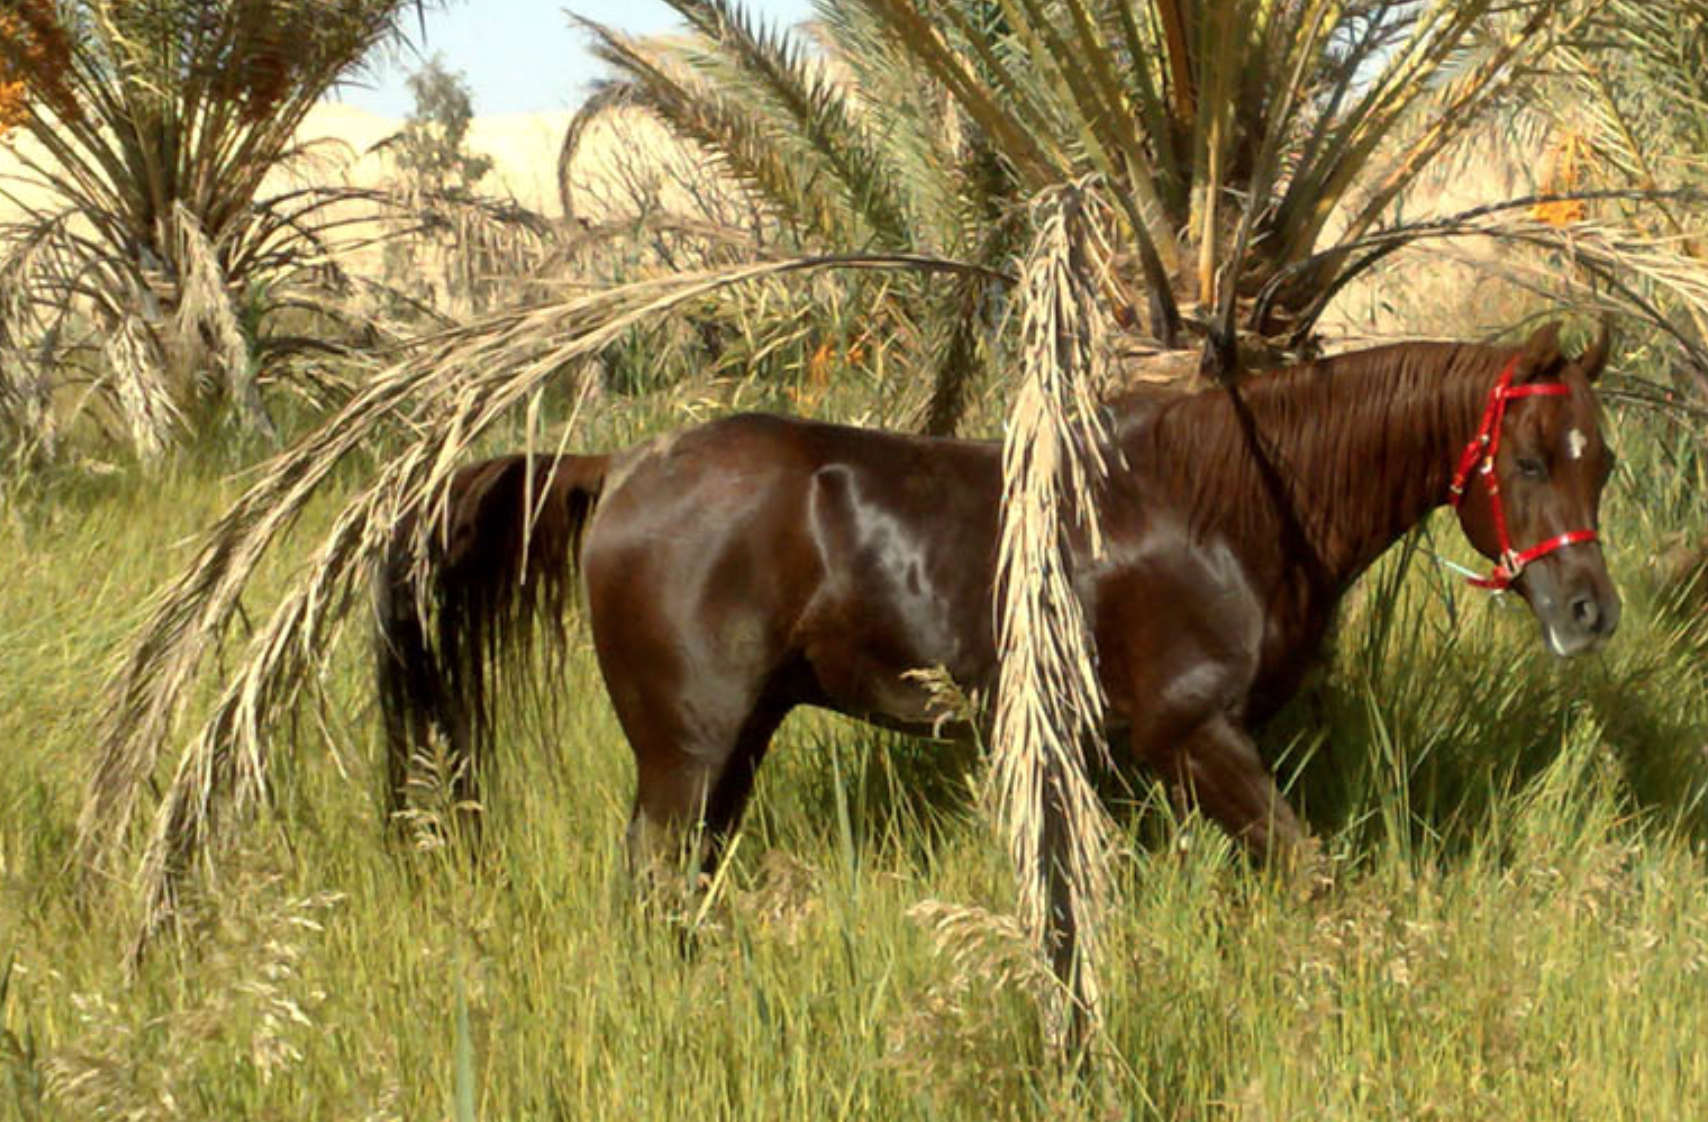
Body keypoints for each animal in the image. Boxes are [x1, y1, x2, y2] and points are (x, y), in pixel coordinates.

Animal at [370, 319, 1612, 870]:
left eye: (1600, 461)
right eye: (1528, 460)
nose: (1589, 613)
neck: (1228, 507)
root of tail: (621, 466)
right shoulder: (1192, 736)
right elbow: (1307, 869)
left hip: (735, 745)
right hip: (685, 754)